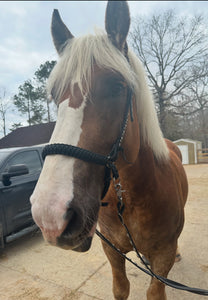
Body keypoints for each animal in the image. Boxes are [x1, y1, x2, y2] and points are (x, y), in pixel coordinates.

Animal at [30, 1, 188, 298]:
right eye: (55, 97)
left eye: (117, 87)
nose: (51, 215)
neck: (133, 199)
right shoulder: (112, 251)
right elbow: (120, 288)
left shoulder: (163, 255)